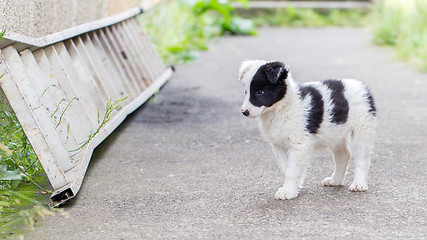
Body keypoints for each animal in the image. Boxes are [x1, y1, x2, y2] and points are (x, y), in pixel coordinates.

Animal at [241, 60, 378, 201]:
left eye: (260, 92)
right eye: (246, 92)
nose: (244, 112)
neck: (280, 109)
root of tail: (361, 85)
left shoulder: (299, 145)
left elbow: (292, 170)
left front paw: (288, 191)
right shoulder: (279, 145)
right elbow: (287, 168)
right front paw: (294, 186)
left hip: (363, 128)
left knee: (362, 158)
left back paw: (359, 184)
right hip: (335, 132)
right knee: (343, 155)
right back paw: (335, 180)